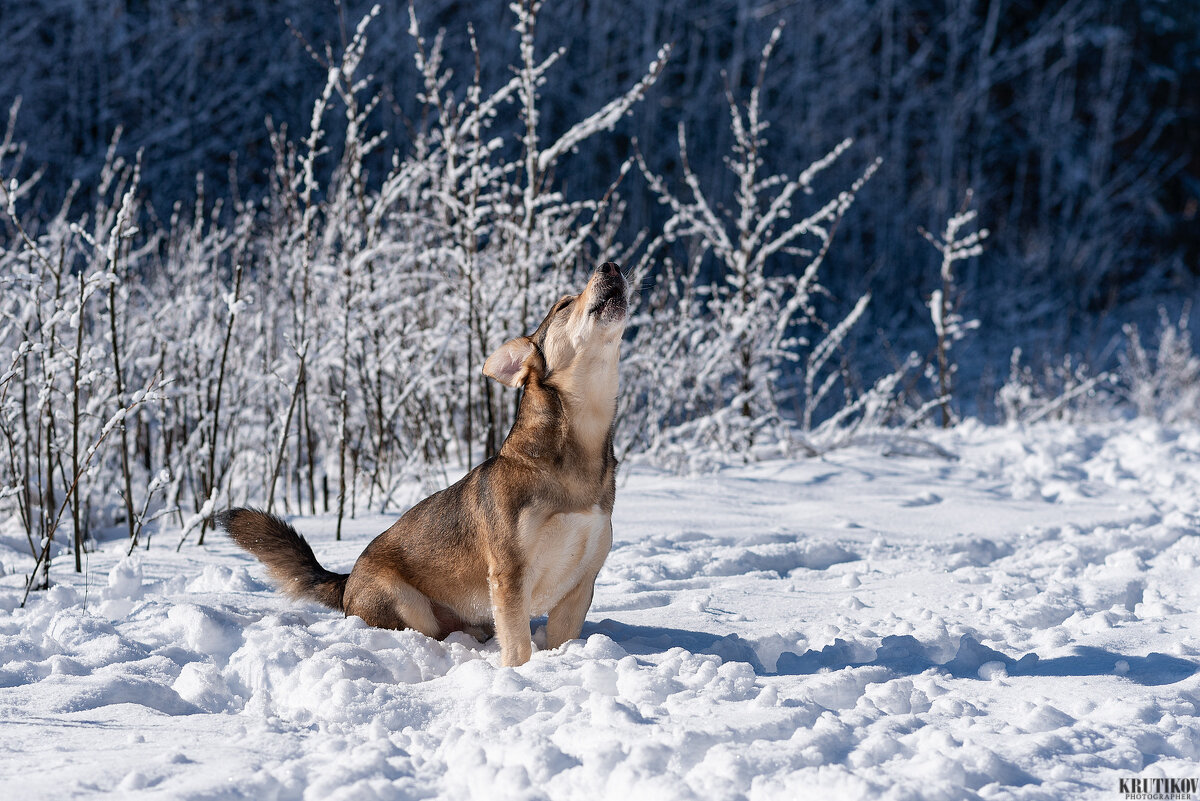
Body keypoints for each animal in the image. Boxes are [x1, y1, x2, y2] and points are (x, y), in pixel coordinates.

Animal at [219, 260, 628, 666]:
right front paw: (520, 675)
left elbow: (558, 638)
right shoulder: (509, 576)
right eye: (563, 305)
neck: (578, 446)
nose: (611, 266)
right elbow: (518, 648)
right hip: (406, 603)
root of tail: (347, 579)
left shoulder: (579, 587)